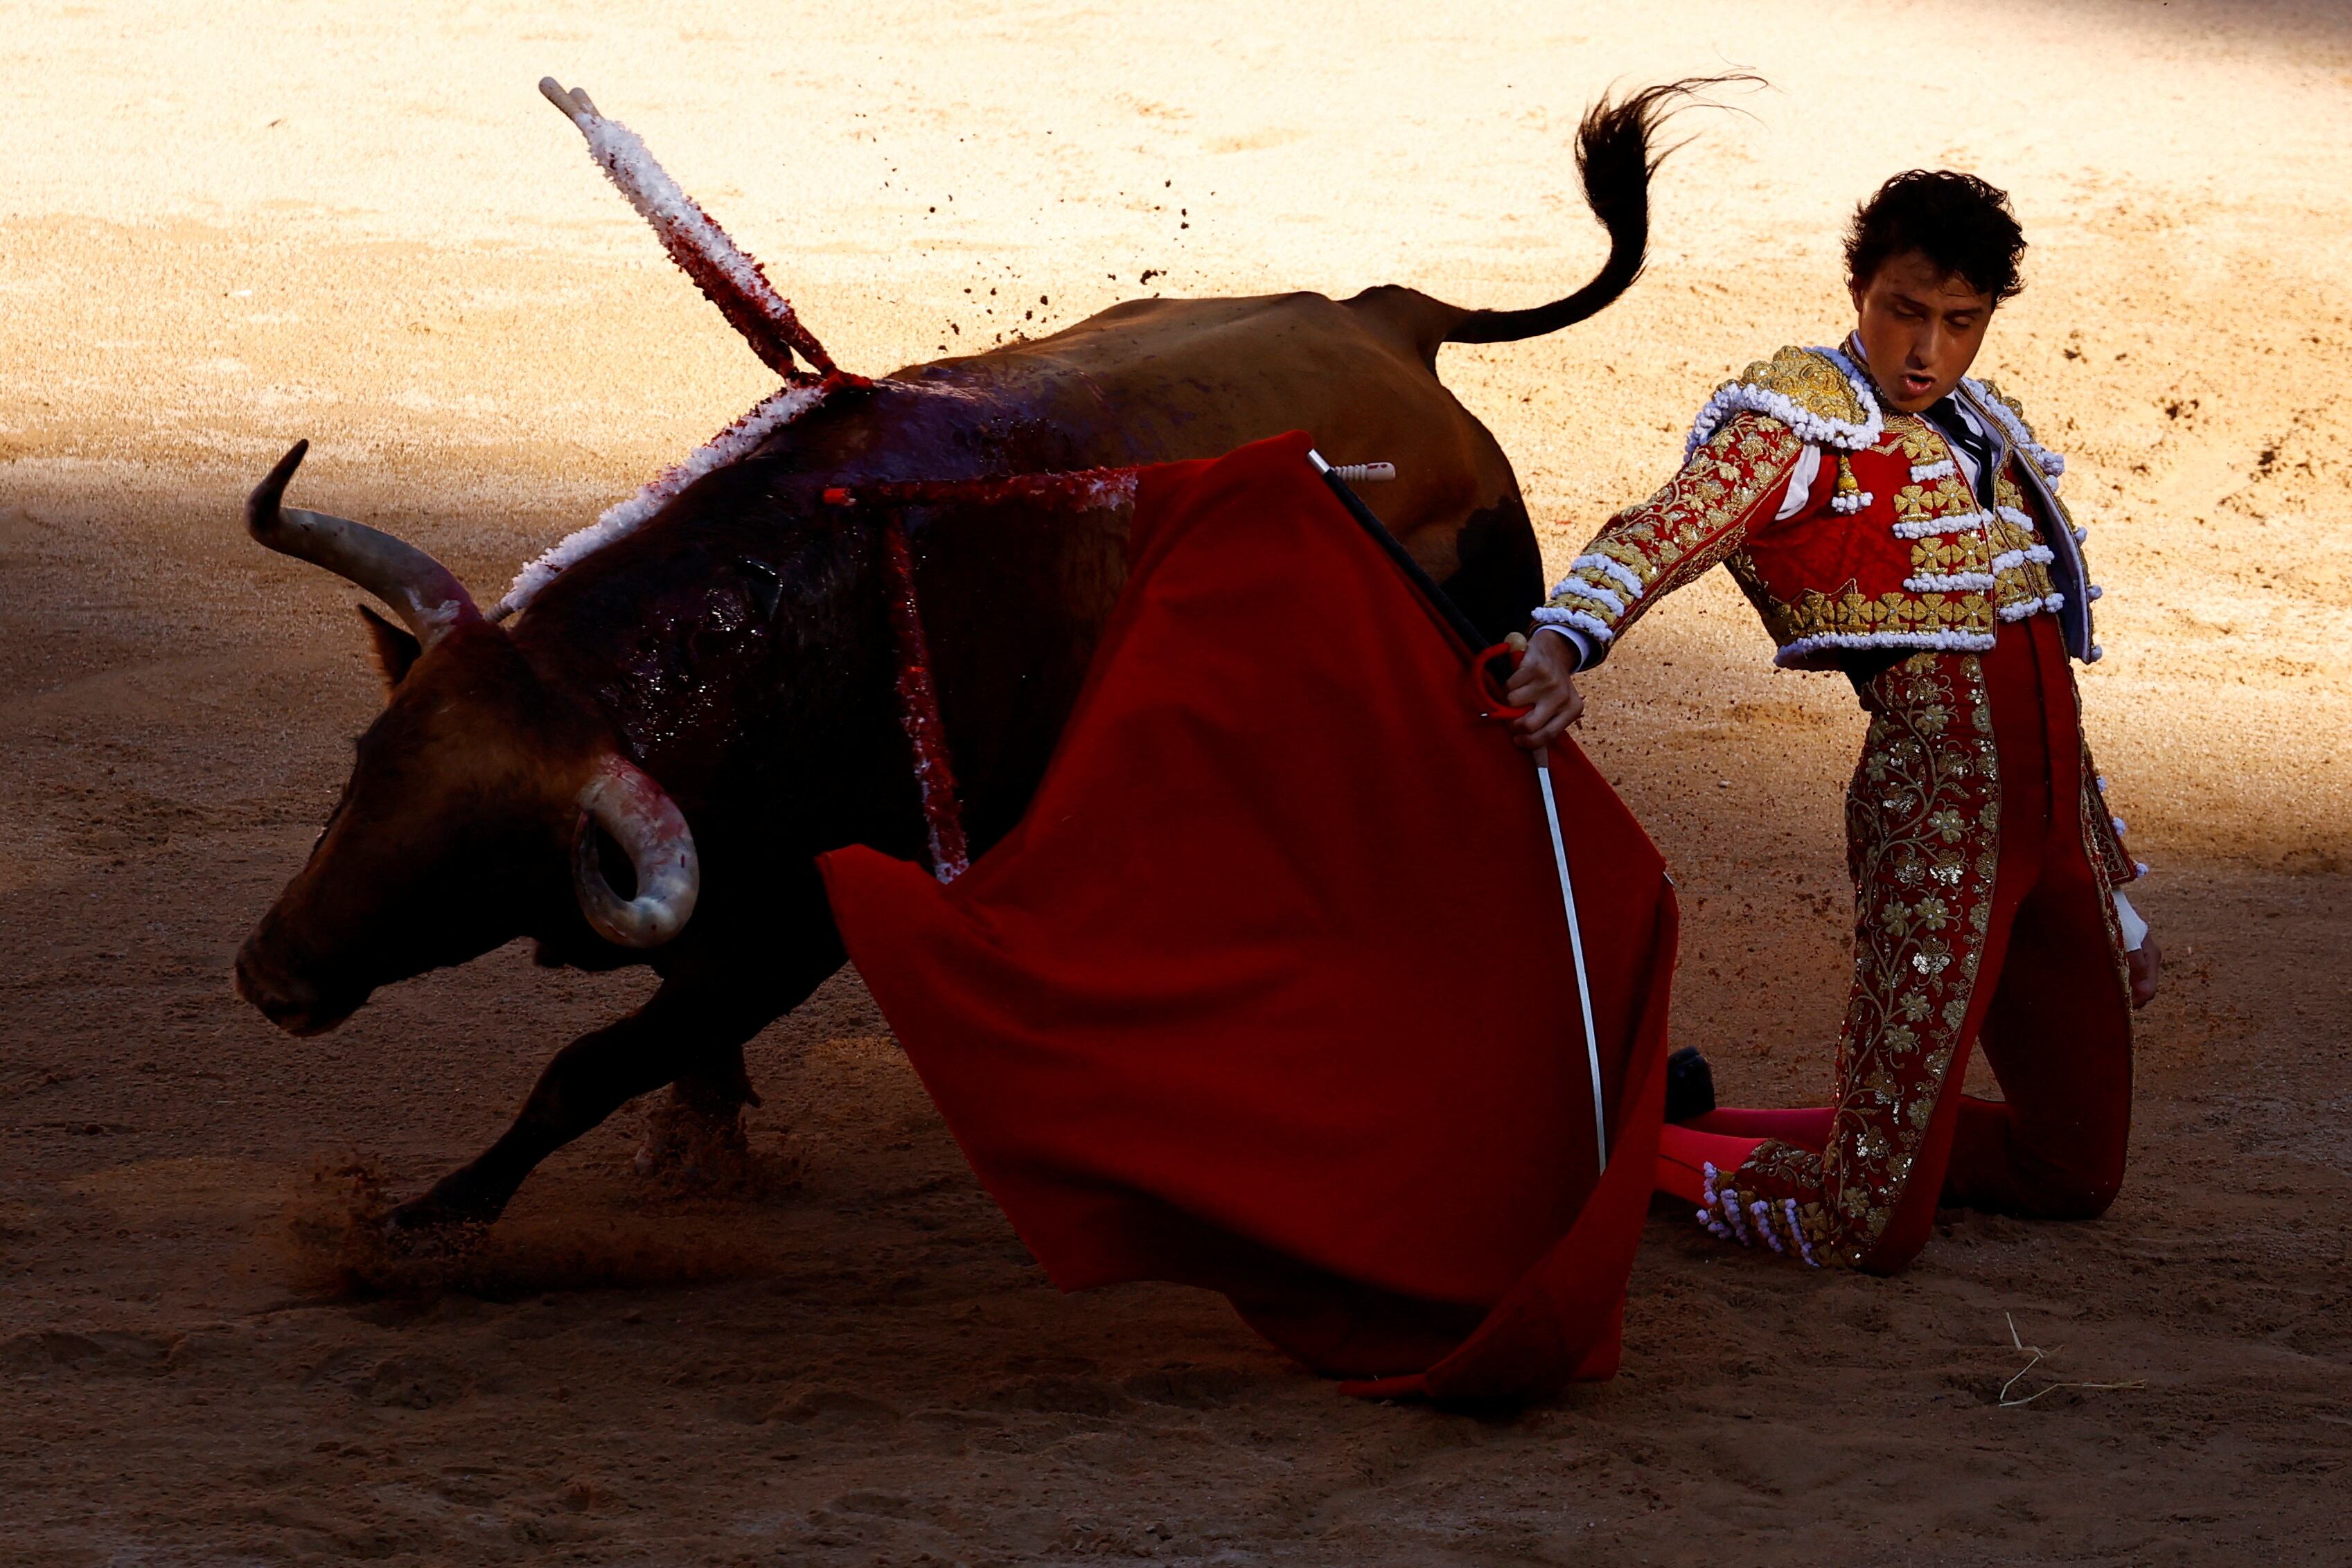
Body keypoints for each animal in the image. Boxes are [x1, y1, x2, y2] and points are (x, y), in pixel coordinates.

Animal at [238, 82, 1702, 1250]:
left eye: (490, 854)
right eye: (365, 766)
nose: (270, 975)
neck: (750, 640)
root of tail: (1391, 322)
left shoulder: (797, 927)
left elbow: (589, 1063)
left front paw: (429, 1220)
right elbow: (672, 1039)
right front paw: (699, 1143)